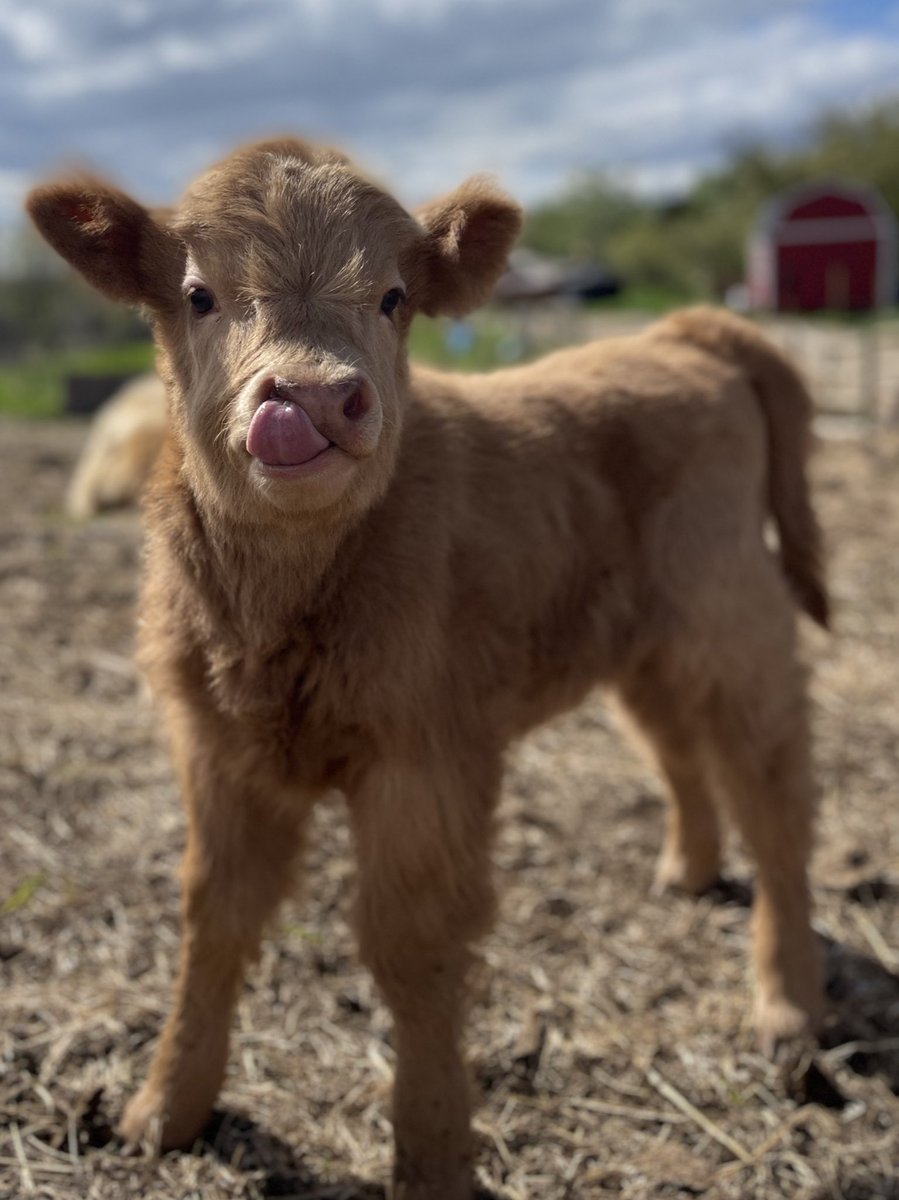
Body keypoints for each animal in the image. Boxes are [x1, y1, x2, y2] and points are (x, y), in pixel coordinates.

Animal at [28, 140, 825, 1200]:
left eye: (394, 296)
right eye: (198, 294)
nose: (310, 398)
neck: (280, 609)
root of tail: (683, 333)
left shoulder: (426, 760)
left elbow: (412, 945)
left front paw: (435, 1150)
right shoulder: (218, 754)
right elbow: (214, 920)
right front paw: (165, 1111)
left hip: (733, 628)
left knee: (774, 801)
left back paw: (787, 1008)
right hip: (645, 645)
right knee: (678, 752)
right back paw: (685, 875)